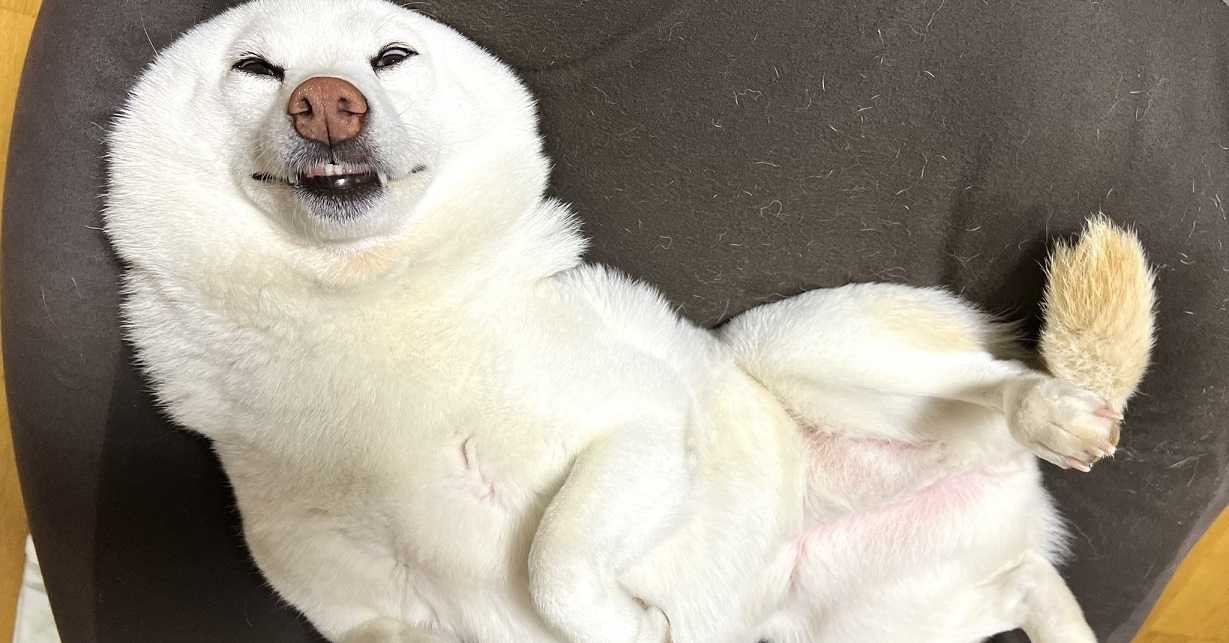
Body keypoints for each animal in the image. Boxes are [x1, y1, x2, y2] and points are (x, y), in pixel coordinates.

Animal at [104, 0, 1156, 641]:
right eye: (255, 67)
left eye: (391, 57)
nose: (327, 101)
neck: (359, 307)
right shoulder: (357, 610)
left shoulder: (640, 433)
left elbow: (553, 561)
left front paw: (628, 623)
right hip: (866, 616)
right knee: (1020, 577)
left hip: (789, 346)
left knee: (999, 388)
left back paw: (1055, 410)